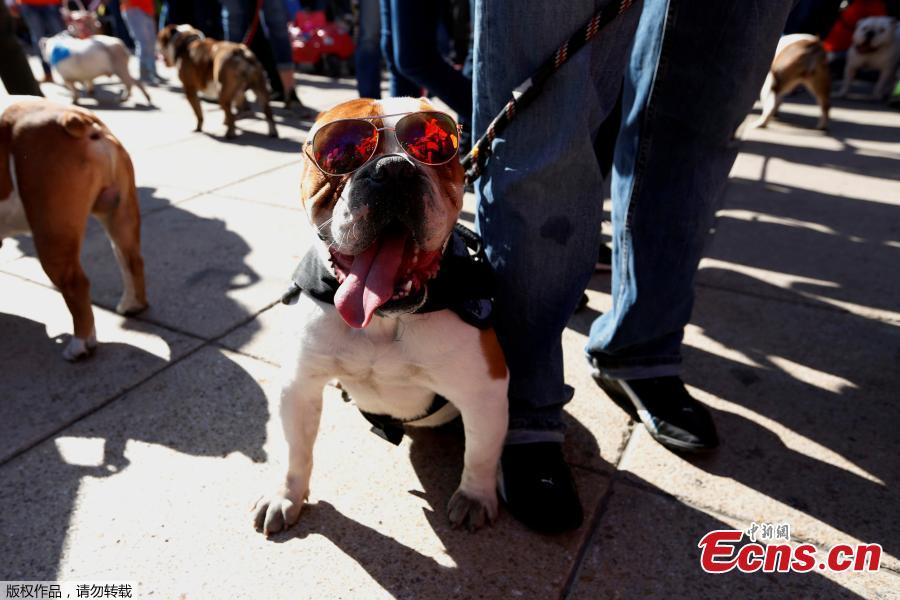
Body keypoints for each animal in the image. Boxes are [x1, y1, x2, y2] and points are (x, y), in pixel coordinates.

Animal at [0, 97, 146, 360]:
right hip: (120, 212)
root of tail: (76, 119)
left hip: (51, 232)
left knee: (75, 283)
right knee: (131, 259)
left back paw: (79, 345)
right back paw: (132, 305)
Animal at [253, 98, 510, 536]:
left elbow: (480, 451)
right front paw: (287, 495)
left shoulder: (485, 390)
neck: (383, 320)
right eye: (340, 153)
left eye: (434, 146)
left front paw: (476, 496)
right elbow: (295, 450)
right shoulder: (300, 385)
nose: (394, 169)